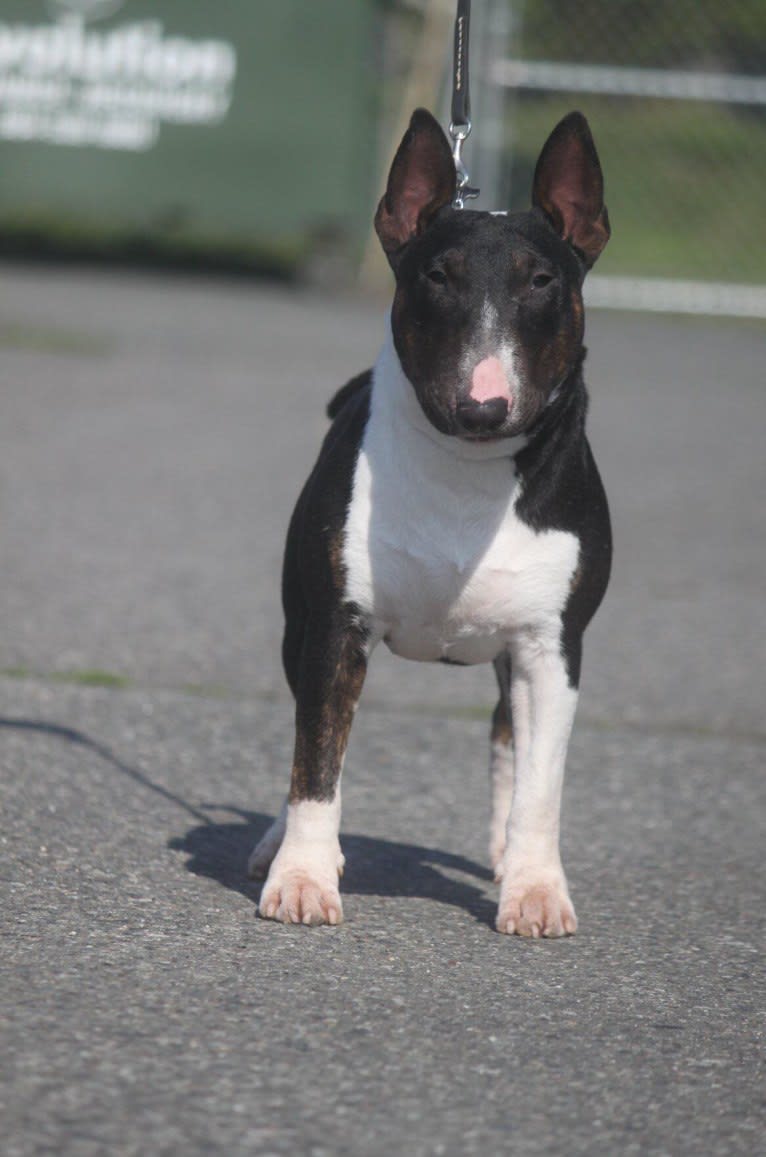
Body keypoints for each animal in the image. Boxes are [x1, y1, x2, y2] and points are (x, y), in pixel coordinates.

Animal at [251, 108, 610, 934]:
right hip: (297, 625)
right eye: (437, 277)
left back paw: (509, 858)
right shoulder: (336, 625)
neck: (470, 468)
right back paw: (276, 842)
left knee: (508, 734)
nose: (483, 404)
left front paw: (536, 890)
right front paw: (304, 878)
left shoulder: (553, 646)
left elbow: (542, 780)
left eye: (542, 281)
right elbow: (316, 759)